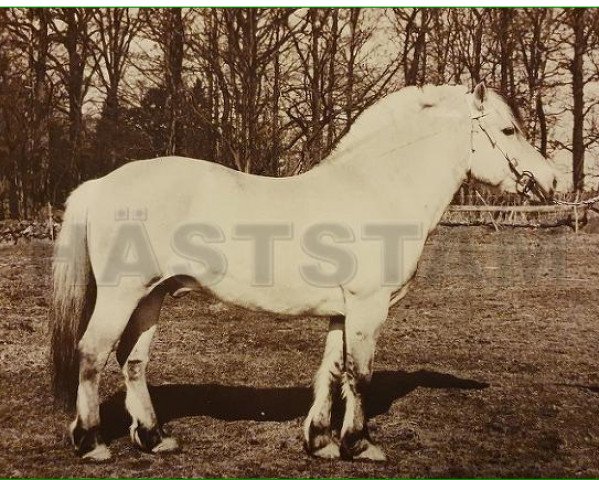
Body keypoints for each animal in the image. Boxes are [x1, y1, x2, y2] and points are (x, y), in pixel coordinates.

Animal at [50, 82, 556, 462]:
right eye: (508, 129)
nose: (552, 180)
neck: (380, 188)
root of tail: (101, 184)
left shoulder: (342, 311)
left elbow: (332, 370)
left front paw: (320, 442)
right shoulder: (368, 307)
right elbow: (360, 374)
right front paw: (360, 445)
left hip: (151, 296)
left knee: (132, 361)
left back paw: (154, 438)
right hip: (121, 294)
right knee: (93, 354)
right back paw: (91, 443)